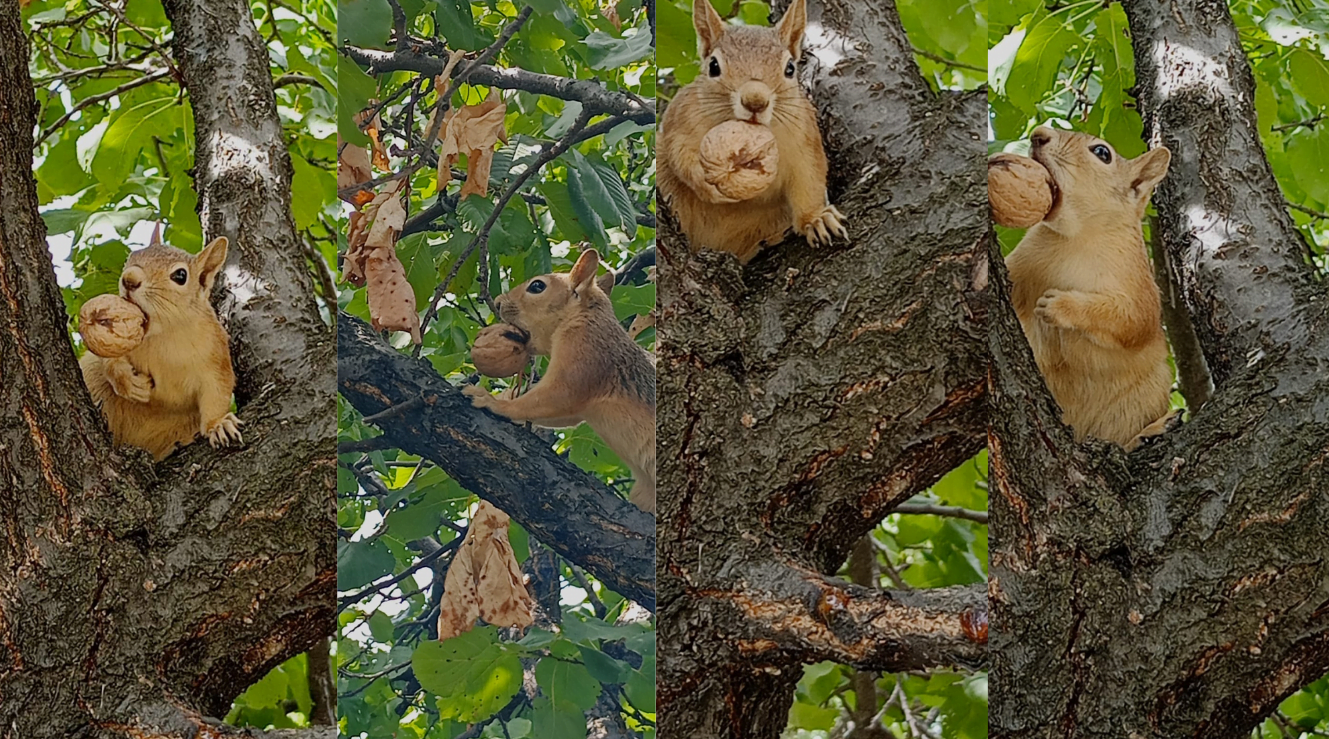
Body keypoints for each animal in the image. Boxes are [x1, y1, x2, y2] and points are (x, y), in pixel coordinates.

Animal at [79, 233, 244, 459]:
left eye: (180, 275)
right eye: (130, 257)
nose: (129, 279)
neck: (163, 335)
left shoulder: (216, 357)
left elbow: (217, 392)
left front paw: (218, 425)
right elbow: (110, 360)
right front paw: (129, 383)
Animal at [462, 251, 659, 510]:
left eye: (537, 286)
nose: (498, 302)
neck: (582, 316)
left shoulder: (586, 353)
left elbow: (554, 397)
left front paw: (493, 402)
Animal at [656, 0, 850, 263]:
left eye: (790, 68)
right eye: (713, 66)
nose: (755, 102)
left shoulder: (805, 139)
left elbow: (809, 180)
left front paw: (817, 219)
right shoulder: (680, 122)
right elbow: (680, 157)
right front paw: (706, 180)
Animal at [999, 125, 1180, 449]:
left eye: (1102, 153)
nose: (1038, 134)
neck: (1078, 236)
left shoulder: (1140, 288)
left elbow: (1131, 321)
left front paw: (1059, 306)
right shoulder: (1023, 260)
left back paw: (1146, 433)